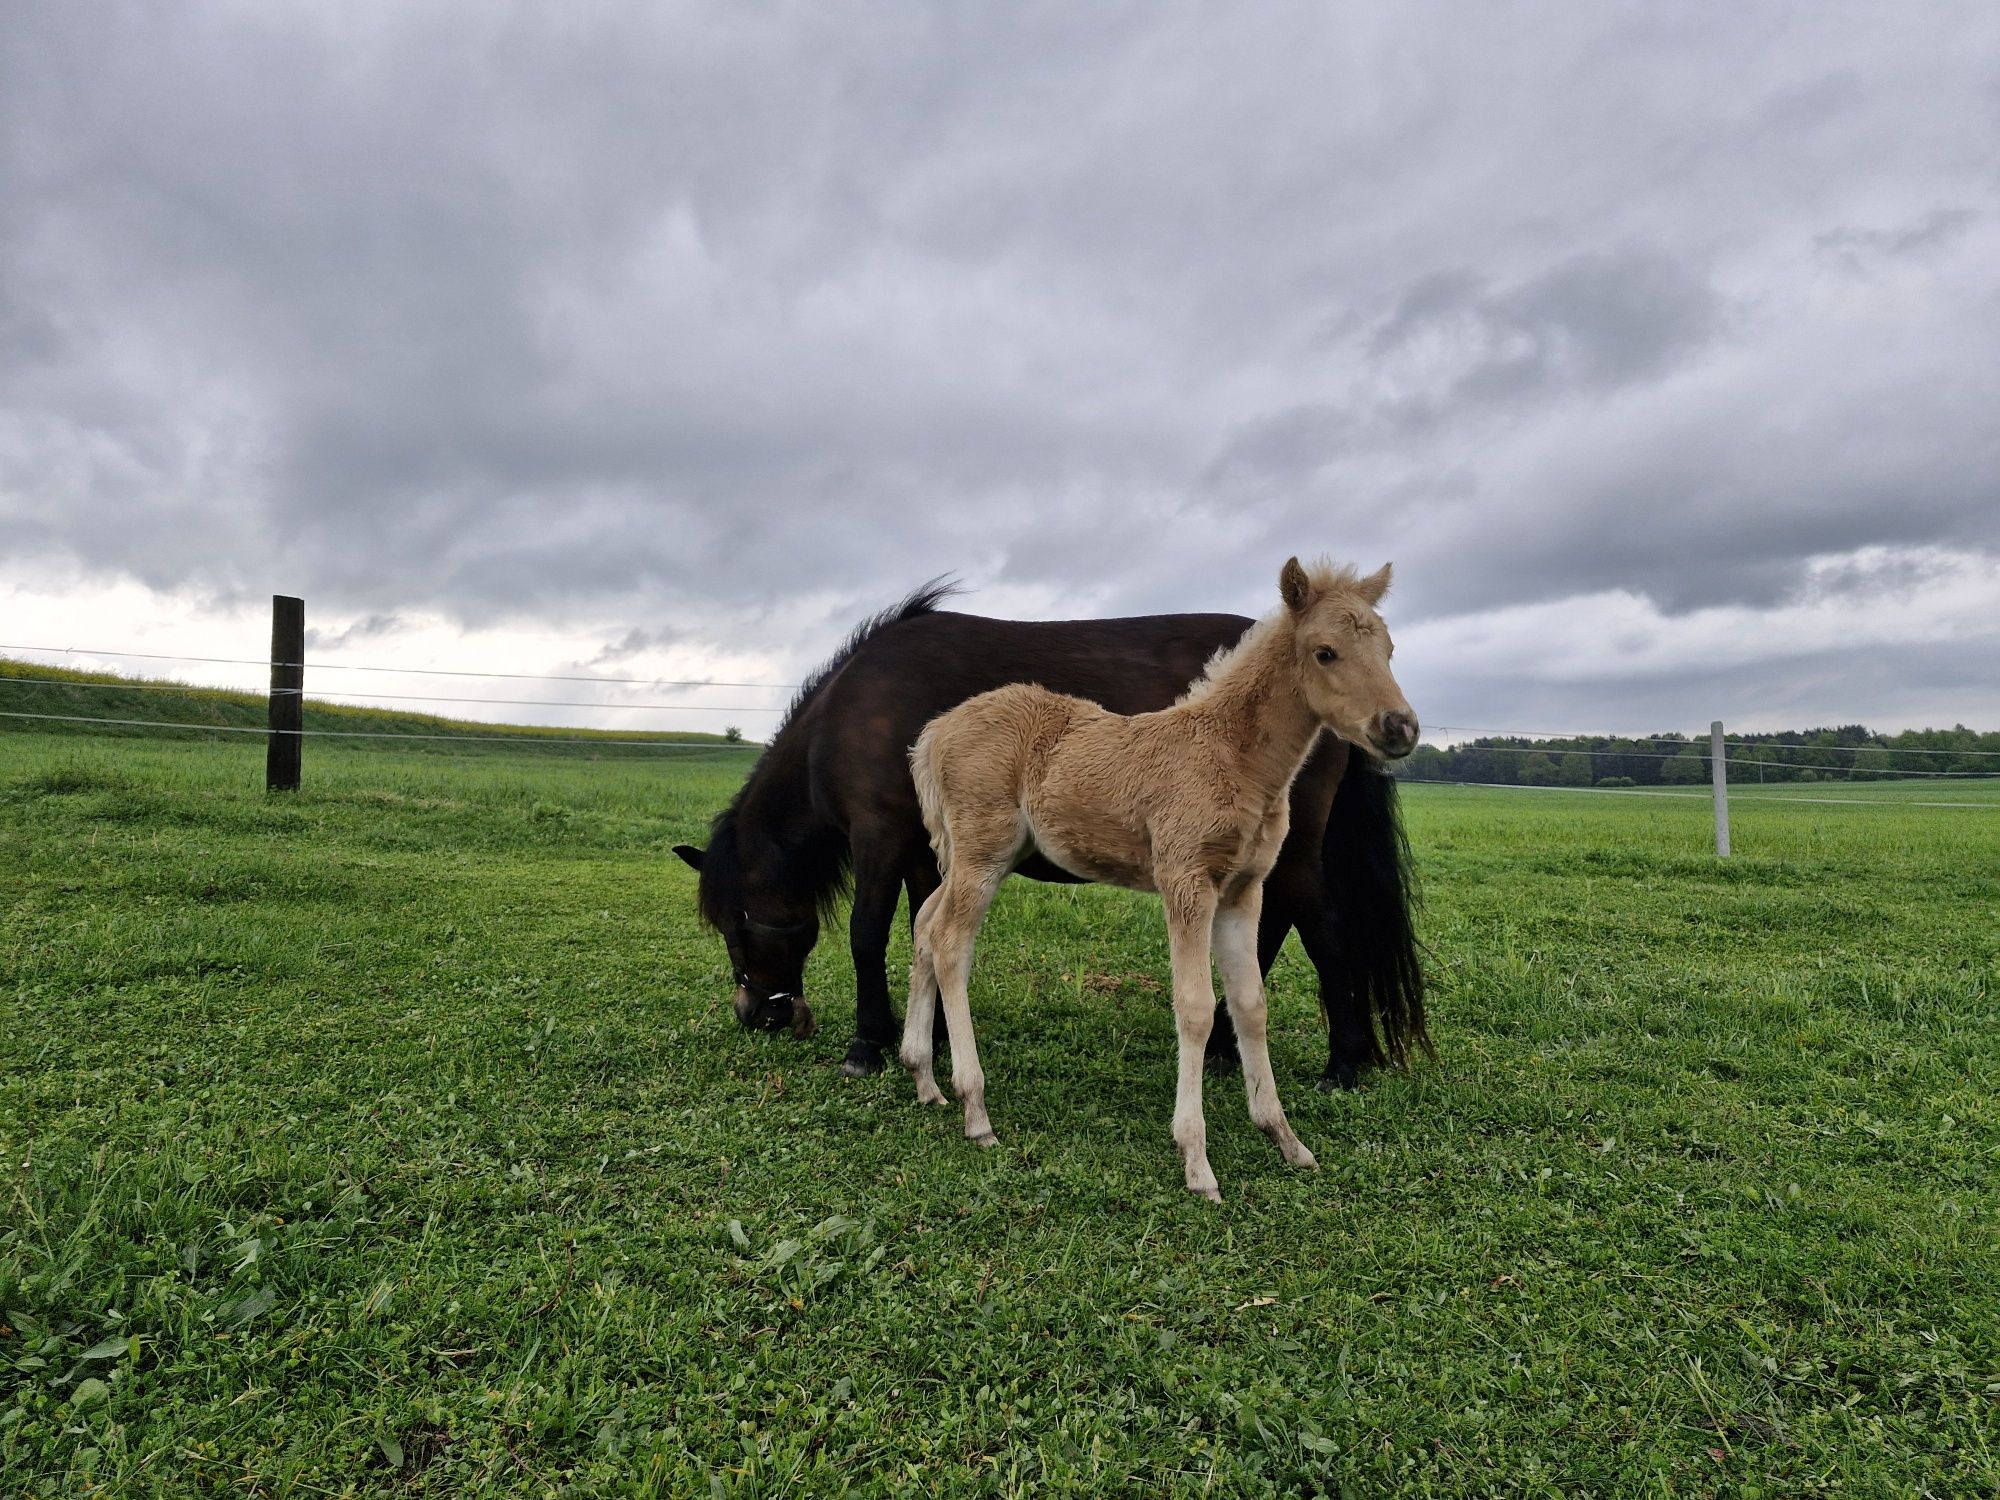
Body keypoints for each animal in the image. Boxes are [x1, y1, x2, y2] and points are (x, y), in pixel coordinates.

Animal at [672, 588, 1424, 1096]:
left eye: (734, 923)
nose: (754, 1016)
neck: (851, 713)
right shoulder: (927, 852)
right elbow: (927, 934)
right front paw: (932, 1035)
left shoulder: (879, 838)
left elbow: (867, 935)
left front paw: (868, 1044)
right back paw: (1221, 1048)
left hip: (1289, 855)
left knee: (1324, 932)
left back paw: (1343, 1061)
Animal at [908, 560, 1424, 1208]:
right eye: (1325, 651)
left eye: (1389, 648)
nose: (1400, 728)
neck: (1234, 758)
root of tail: (934, 731)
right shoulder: (1187, 881)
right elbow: (1196, 1007)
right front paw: (1197, 1163)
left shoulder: (1243, 891)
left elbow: (1251, 1005)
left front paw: (1286, 1140)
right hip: (983, 851)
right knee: (951, 942)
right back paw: (975, 1110)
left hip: (976, 855)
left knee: (924, 925)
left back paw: (922, 1077)